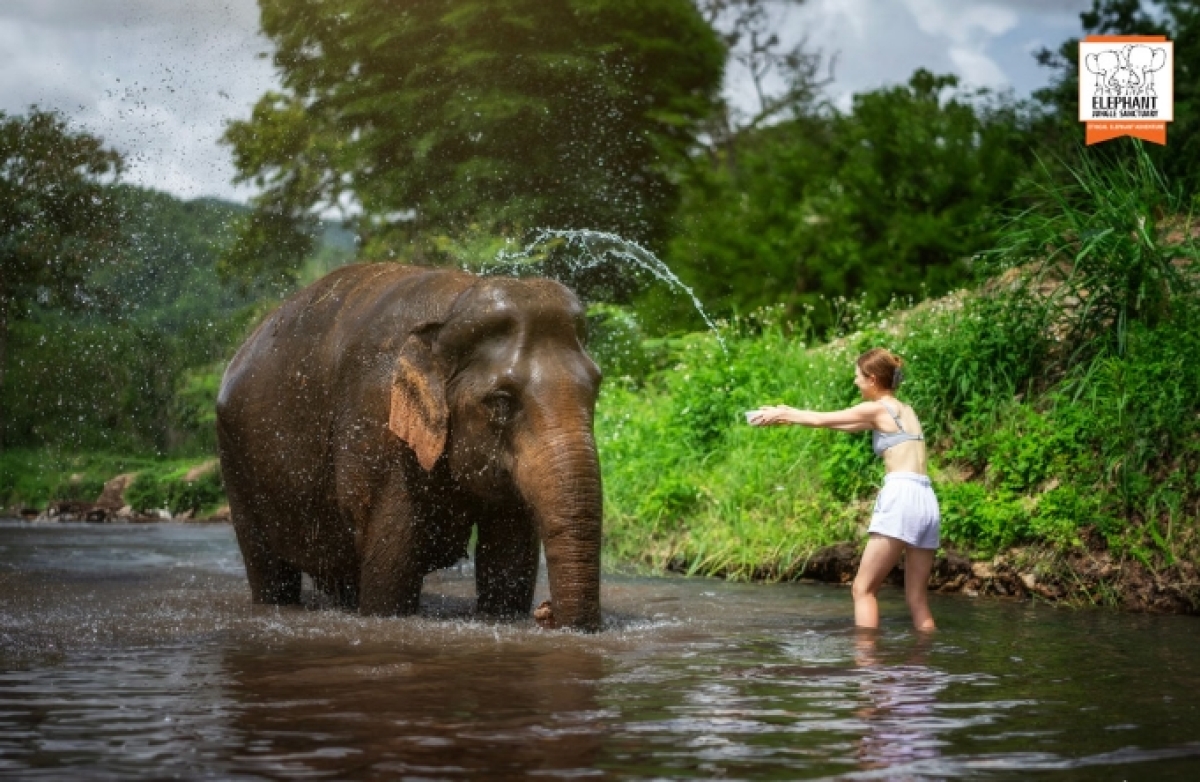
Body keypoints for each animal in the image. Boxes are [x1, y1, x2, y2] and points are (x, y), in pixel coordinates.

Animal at [216, 263, 603, 631]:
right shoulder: (377, 432)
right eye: (501, 401)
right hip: (236, 465)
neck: (454, 305)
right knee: (269, 571)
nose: (546, 612)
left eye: (596, 387)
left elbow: (509, 563)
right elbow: (390, 580)